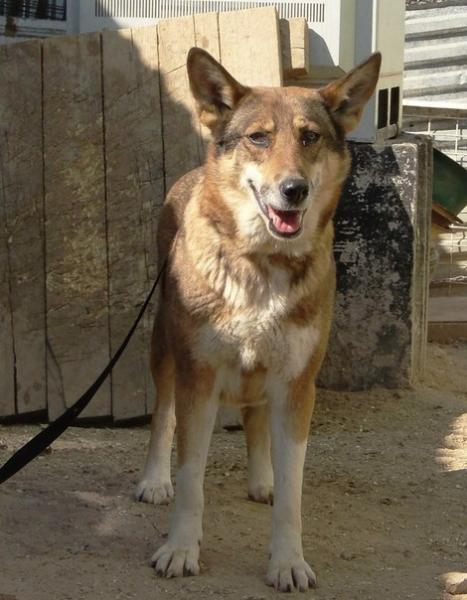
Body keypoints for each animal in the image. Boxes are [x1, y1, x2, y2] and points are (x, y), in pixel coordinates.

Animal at [135, 47, 381, 592]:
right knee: (162, 417)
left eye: (310, 137)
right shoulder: (199, 378)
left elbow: (292, 493)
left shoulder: (297, 385)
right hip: (164, 351)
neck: (261, 265)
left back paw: (261, 479)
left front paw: (287, 560)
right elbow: (191, 477)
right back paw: (154, 479)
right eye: (259, 137)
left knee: (255, 421)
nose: (294, 190)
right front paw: (180, 549)